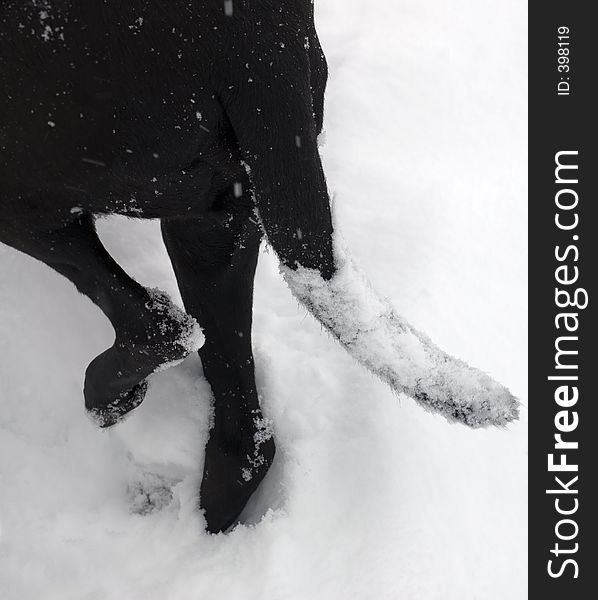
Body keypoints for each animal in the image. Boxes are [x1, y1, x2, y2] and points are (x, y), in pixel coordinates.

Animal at [0, 1, 516, 536]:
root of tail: (255, 38)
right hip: (215, 220)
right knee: (240, 429)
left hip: (32, 183)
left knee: (156, 326)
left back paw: (108, 405)